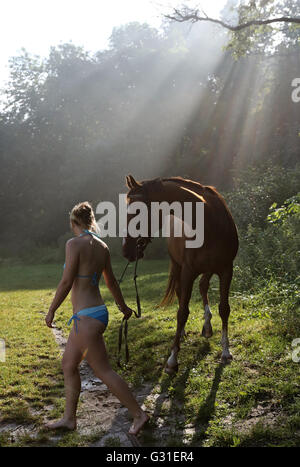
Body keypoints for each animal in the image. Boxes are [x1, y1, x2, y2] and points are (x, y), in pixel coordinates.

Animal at [122, 174, 239, 374]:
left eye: (138, 211)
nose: (126, 249)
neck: (210, 224)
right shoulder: (188, 271)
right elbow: (182, 312)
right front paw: (172, 360)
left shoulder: (226, 270)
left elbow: (224, 309)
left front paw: (225, 351)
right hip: (178, 266)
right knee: (181, 291)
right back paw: (183, 331)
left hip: (208, 268)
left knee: (203, 286)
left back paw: (207, 326)